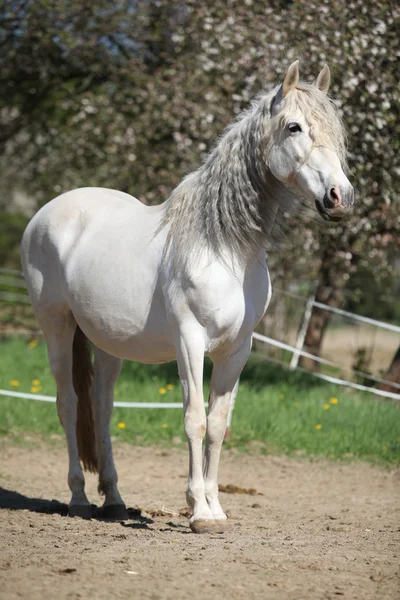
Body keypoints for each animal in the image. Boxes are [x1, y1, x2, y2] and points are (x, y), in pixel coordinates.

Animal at [21, 61, 354, 532]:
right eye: (294, 126)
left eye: (336, 130)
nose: (340, 197)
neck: (222, 247)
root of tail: (46, 213)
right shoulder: (190, 341)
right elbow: (194, 419)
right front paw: (198, 511)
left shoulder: (237, 350)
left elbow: (217, 424)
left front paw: (215, 509)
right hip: (56, 327)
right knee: (68, 404)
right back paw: (79, 498)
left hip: (107, 343)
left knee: (101, 408)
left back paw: (114, 500)